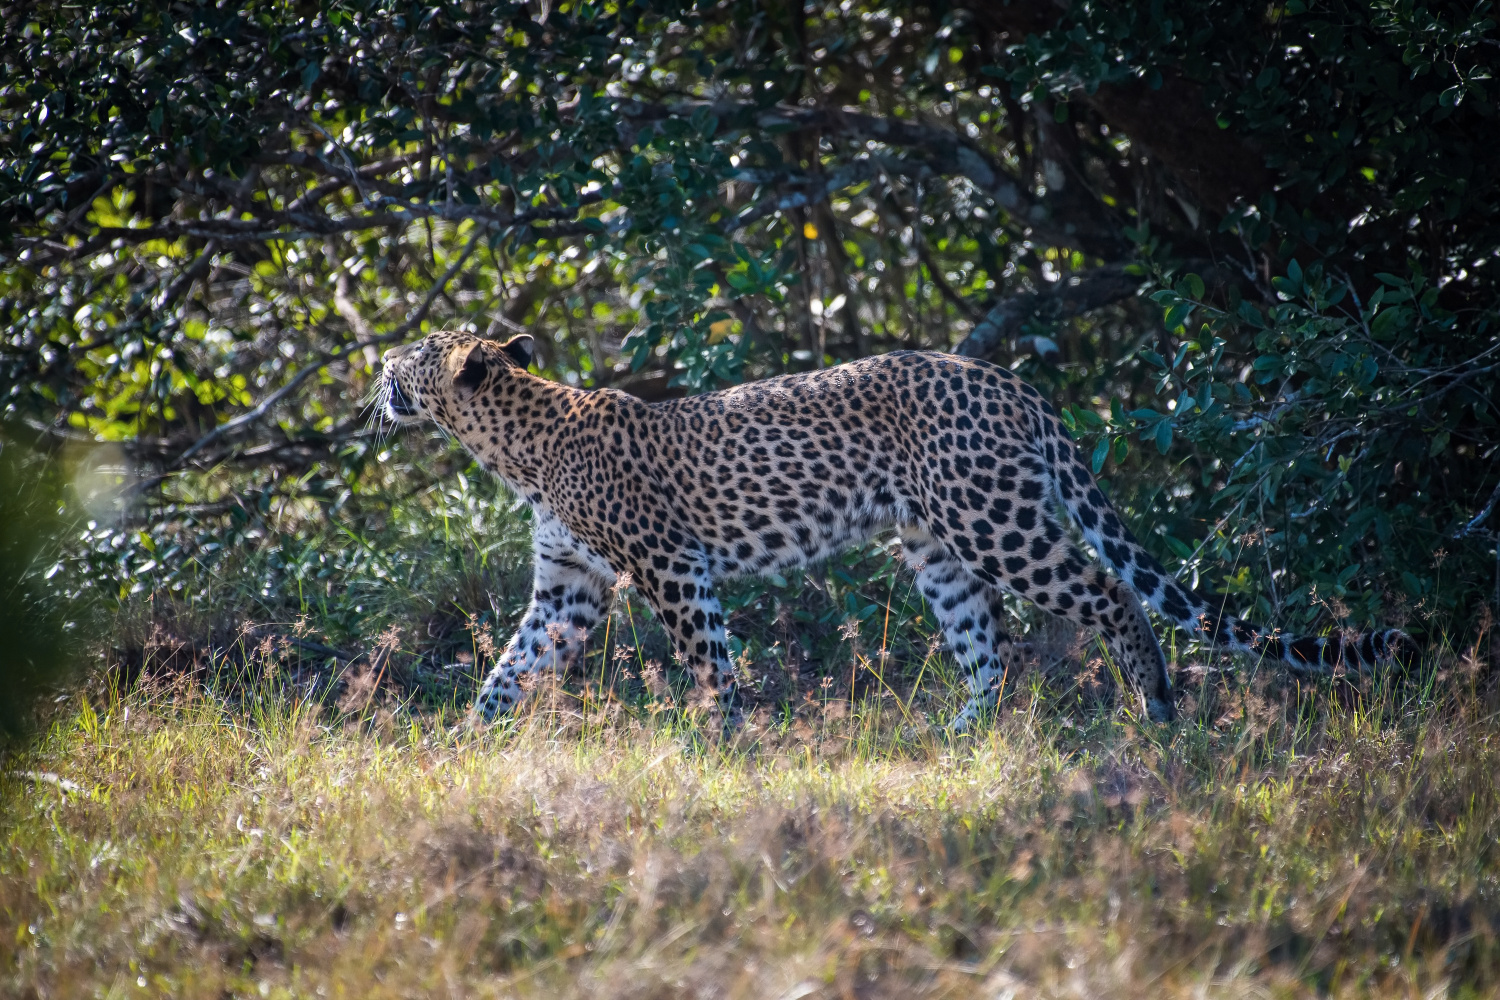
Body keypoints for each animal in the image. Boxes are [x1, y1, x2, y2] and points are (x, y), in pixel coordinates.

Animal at [381, 332, 1410, 731]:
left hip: (995, 520)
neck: (515, 446)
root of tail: (1012, 381)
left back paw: (1155, 707)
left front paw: (727, 740)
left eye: (417, 354)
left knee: (1110, 593)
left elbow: (710, 658)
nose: (380, 364)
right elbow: (512, 666)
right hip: (936, 546)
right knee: (988, 644)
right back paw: (961, 737)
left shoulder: (670, 566)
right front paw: (466, 743)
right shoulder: (571, 585)